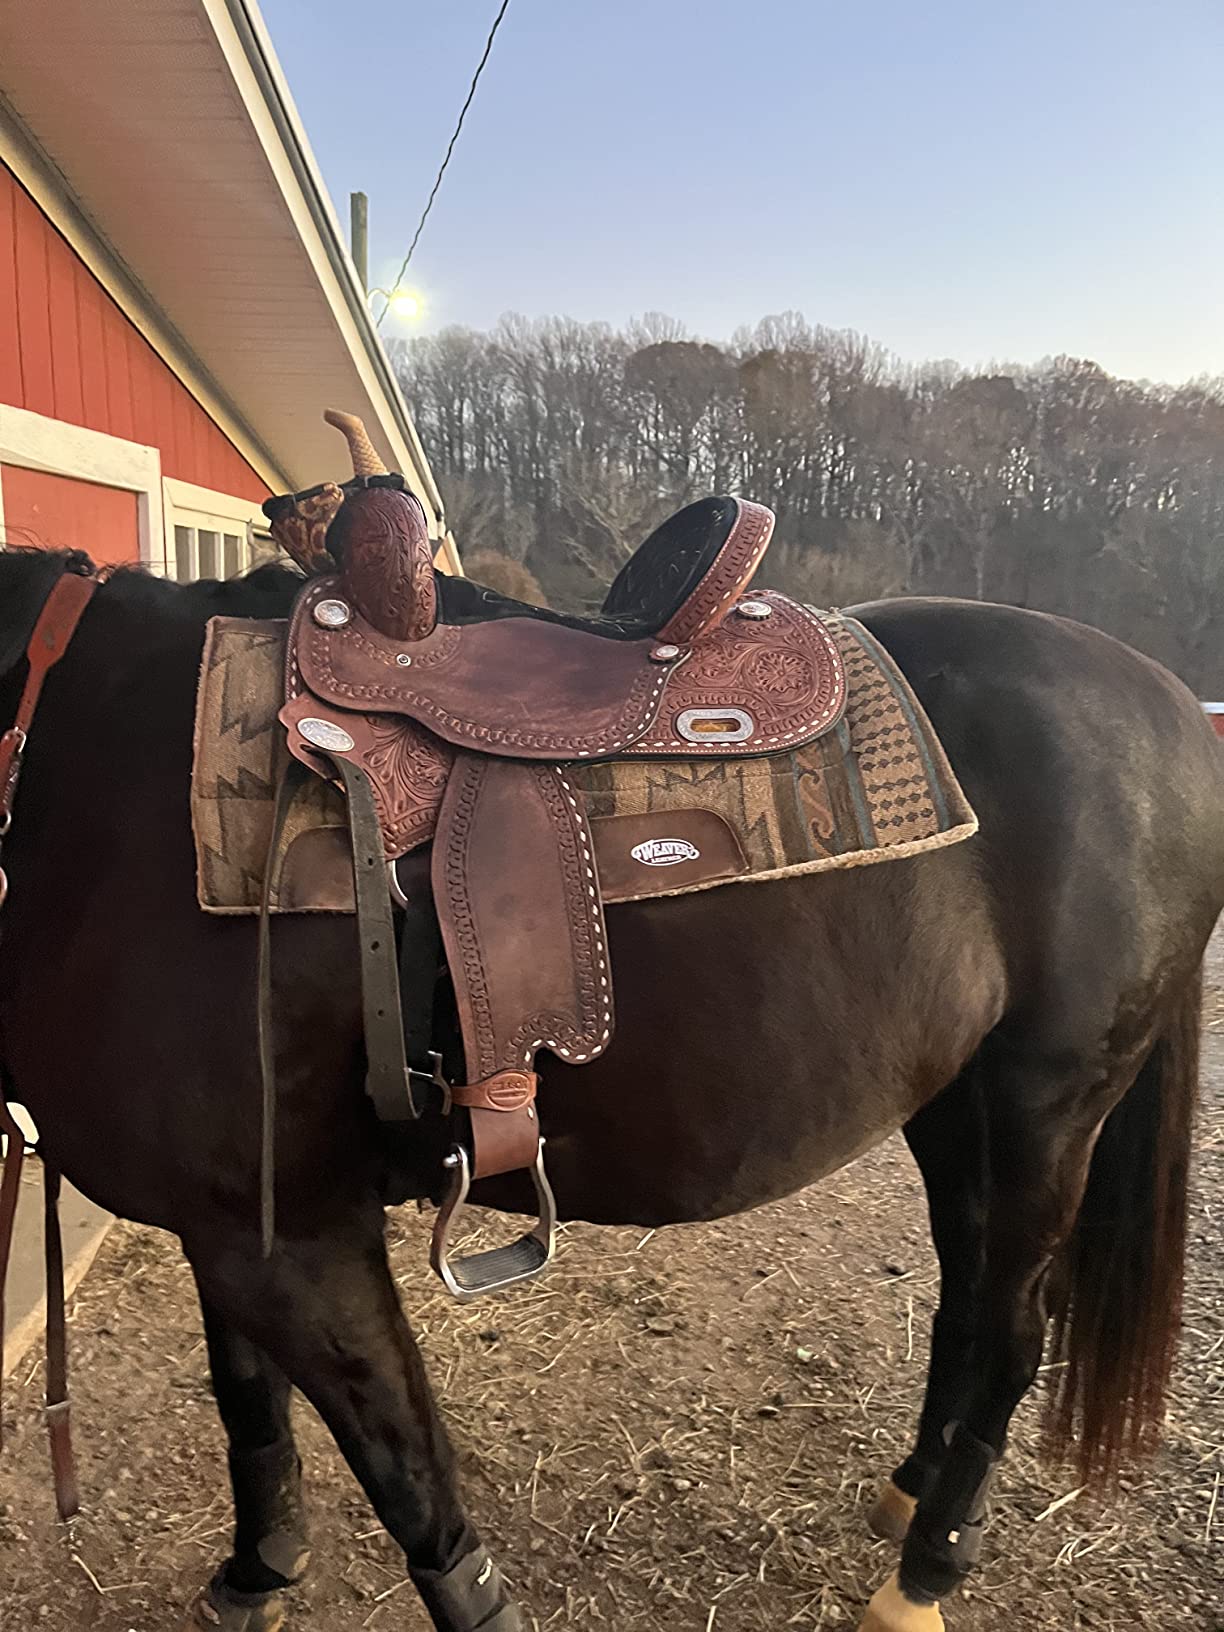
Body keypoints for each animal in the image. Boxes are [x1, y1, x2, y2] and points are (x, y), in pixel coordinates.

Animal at [0, 544, 1220, 1632]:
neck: (82, 772)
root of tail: (1169, 705)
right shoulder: (228, 1225)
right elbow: (252, 1413)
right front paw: (258, 1571)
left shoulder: (297, 1240)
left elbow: (411, 1481)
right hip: (956, 1107)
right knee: (966, 1299)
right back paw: (911, 1494)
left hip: (1046, 1106)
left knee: (1013, 1328)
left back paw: (925, 1575)